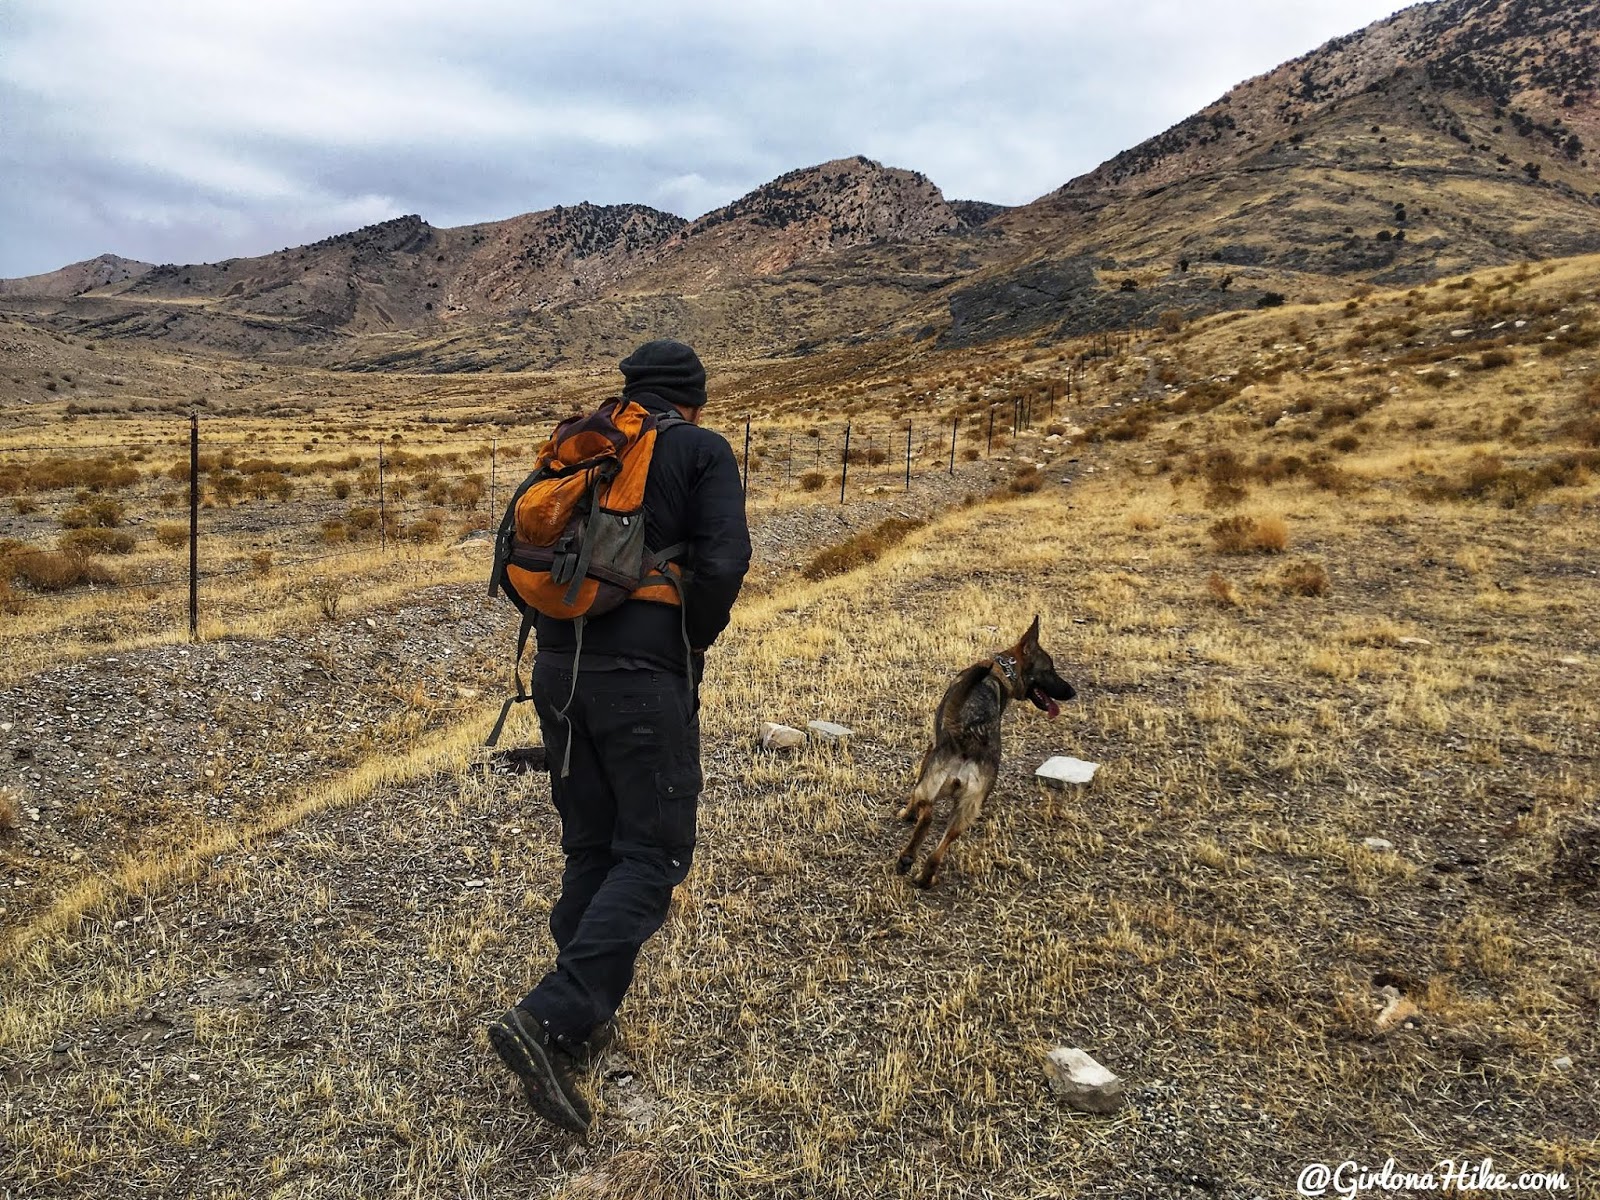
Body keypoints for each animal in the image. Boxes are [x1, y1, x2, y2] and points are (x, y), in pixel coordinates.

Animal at [902, 620, 1075, 896]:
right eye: (1049, 670)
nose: (1072, 692)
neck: (1002, 671)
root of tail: (970, 740)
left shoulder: (929, 749)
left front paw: (906, 814)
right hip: (968, 809)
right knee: (939, 849)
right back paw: (925, 877)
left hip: (931, 783)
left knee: (926, 813)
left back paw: (907, 857)